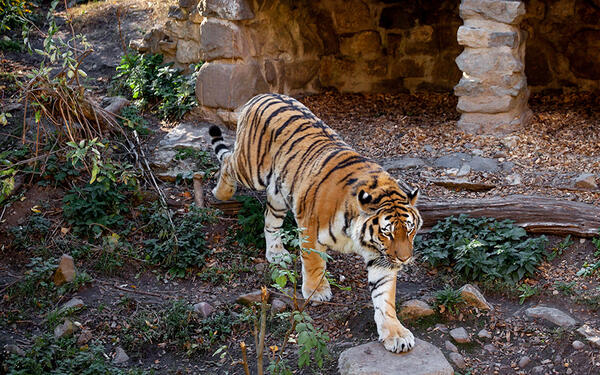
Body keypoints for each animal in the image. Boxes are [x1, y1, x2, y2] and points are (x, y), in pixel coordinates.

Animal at [210, 92, 422, 354]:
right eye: (387, 232)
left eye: (409, 230)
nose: (404, 259)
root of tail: (263, 95)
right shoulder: (310, 227)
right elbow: (312, 262)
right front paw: (316, 291)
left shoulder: (380, 257)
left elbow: (384, 296)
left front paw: (396, 334)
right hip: (251, 169)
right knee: (228, 162)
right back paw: (221, 192)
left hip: (279, 192)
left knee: (270, 218)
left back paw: (276, 253)